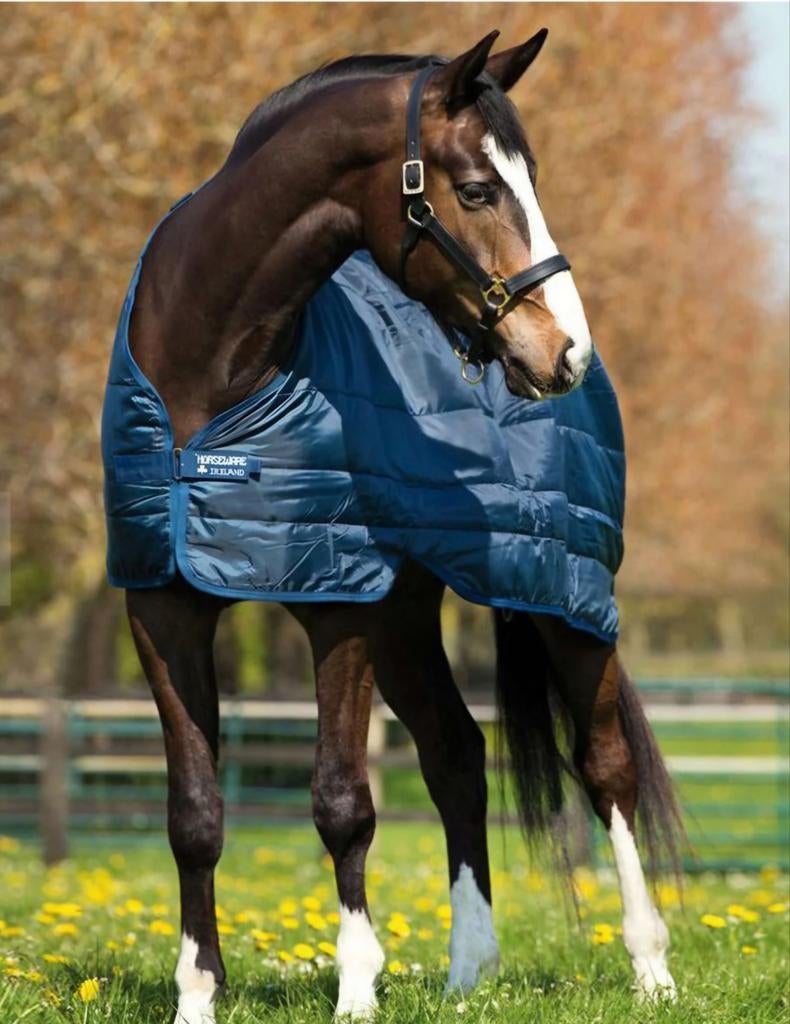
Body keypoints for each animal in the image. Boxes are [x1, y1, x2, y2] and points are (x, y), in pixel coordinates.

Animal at [113, 29, 682, 1023]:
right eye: (479, 189)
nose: (564, 350)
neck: (208, 379)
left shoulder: (337, 605)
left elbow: (343, 802)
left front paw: (356, 993)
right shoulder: (165, 605)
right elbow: (194, 814)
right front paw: (196, 996)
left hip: (563, 592)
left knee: (605, 765)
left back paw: (650, 968)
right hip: (408, 618)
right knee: (457, 754)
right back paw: (469, 973)